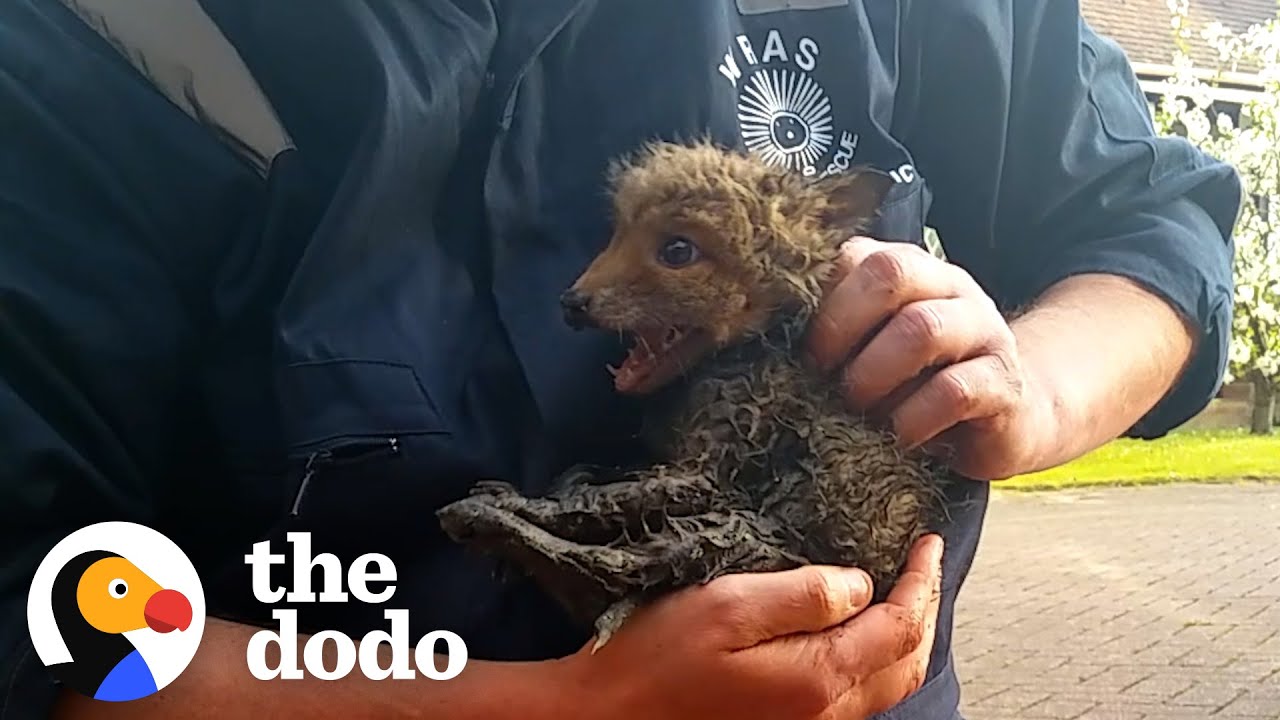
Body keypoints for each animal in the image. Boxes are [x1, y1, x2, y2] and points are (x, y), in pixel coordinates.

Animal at [437, 138, 947, 651]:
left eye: (677, 250)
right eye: (618, 233)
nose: (571, 303)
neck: (745, 355)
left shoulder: (710, 471)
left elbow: (608, 501)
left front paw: (523, 504)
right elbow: (611, 483)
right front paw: (564, 483)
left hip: (756, 537)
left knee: (630, 563)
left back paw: (486, 523)